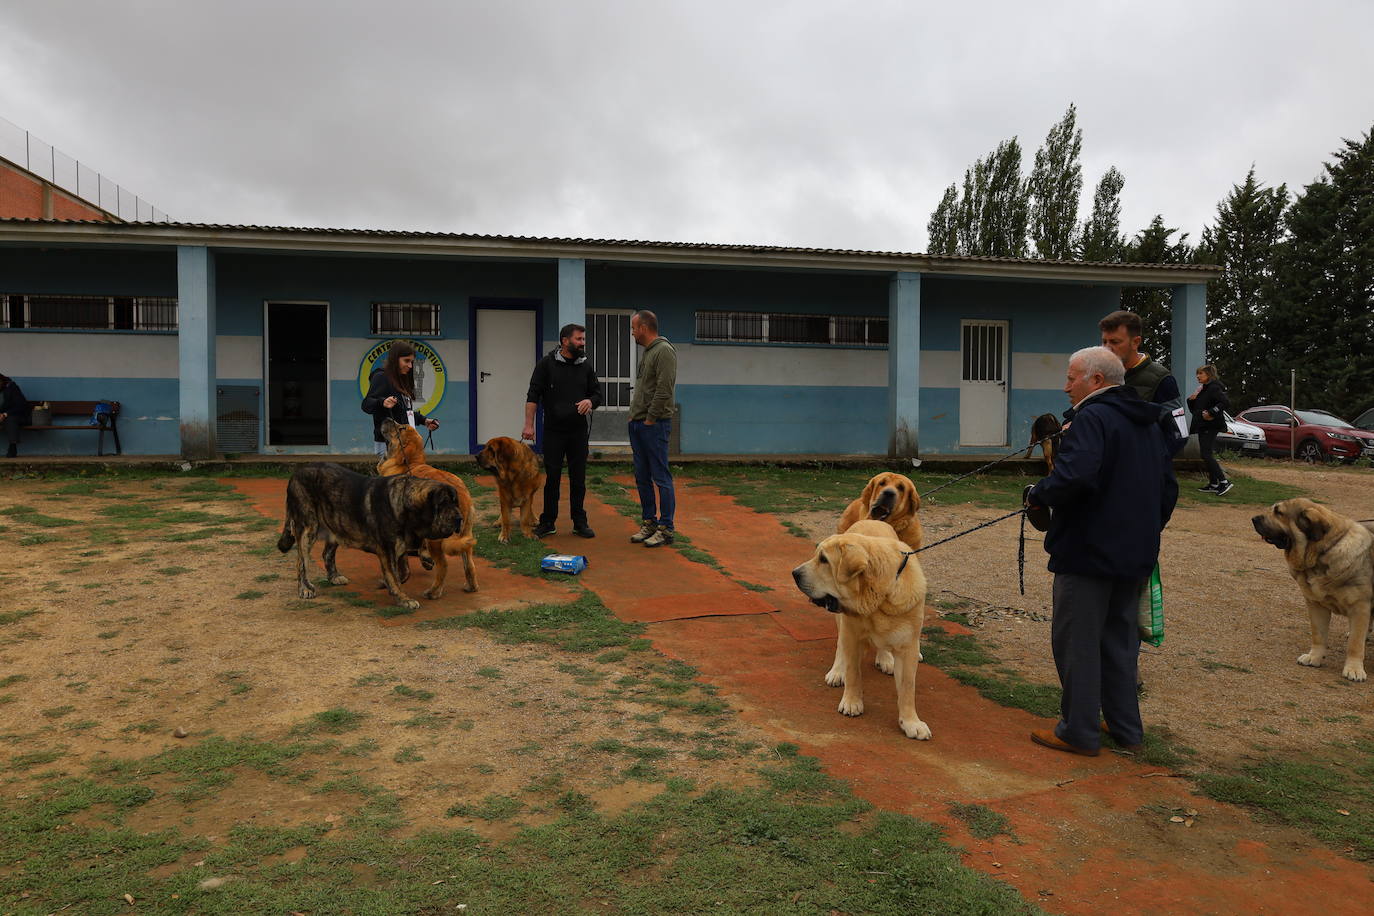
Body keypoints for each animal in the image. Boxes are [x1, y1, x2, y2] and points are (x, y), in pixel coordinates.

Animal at [277, 466, 461, 609]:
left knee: (326, 553)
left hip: (337, 523)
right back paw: (305, 588)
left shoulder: (399, 547)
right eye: (443, 503)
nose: (459, 518)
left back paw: (334, 576)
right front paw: (403, 599)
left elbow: (403, 572)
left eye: (455, 502)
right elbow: (394, 576)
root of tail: (295, 474)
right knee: (301, 562)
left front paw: (389, 584)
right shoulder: (388, 550)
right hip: (308, 529)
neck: (403, 505)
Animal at [791, 519, 928, 741]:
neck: (879, 599)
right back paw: (837, 671)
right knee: (841, 647)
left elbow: (908, 687)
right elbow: (853, 672)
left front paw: (910, 722)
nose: (794, 573)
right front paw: (852, 702)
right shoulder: (852, 635)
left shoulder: (908, 648)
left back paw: (885, 658)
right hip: (841, 621)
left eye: (824, 560)